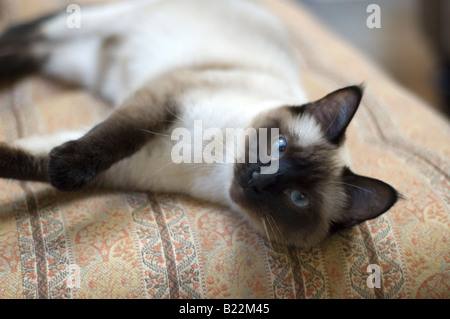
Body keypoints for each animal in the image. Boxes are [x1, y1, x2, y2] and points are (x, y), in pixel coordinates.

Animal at [0, 0, 400, 249]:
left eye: (298, 199)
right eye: (280, 145)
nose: (258, 178)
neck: (214, 166)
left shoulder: (127, 165)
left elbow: (24, 159)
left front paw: (57, 171)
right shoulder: (161, 99)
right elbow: (115, 137)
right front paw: (66, 169)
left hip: (78, 62)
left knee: (37, 51)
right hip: (101, 25)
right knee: (37, 29)